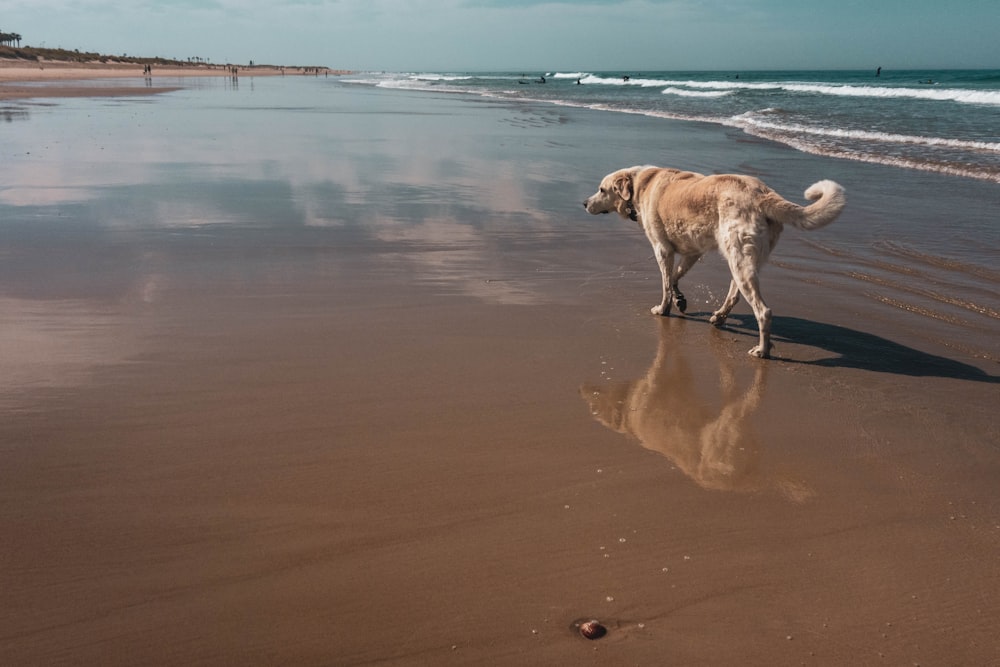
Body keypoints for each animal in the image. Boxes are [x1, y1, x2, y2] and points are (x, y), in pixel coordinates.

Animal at [584, 166, 848, 360]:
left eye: (601, 190)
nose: (585, 203)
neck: (639, 185)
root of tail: (763, 193)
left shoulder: (662, 250)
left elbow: (666, 284)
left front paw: (664, 308)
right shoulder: (692, 252)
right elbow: (676, 277)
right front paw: (680, 300)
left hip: (739, 258)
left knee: (763, 311)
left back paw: (762, 350)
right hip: (742, 261)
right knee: (734, 295)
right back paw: (720, 317)